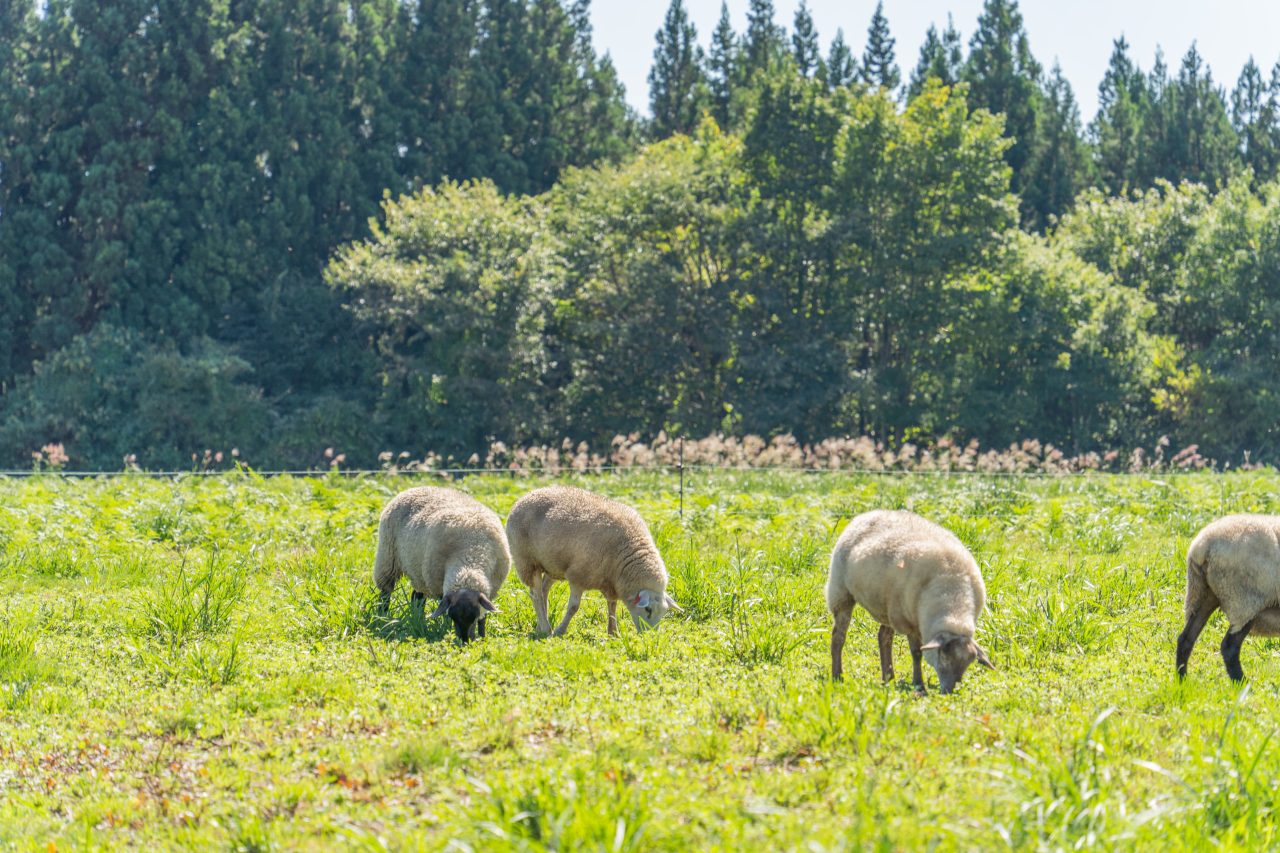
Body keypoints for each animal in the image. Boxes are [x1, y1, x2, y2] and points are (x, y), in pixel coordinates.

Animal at [371, 481, 509, 640]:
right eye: (453, 617)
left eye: (474, 617)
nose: (464, 641)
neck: (470, 556)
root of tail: (412, 488)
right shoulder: (440, 588)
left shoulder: (489, 591)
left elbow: (484, 617)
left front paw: (482, 636)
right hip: (387, 560)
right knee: (385, 593)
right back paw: (382, 617)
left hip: (418, 571)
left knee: (416, 597)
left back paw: (418, 620)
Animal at [504, 481, 680, 635]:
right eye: (648, 609)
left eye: (664, 612)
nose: (650, 636)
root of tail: (526, 496)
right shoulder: (578, 576)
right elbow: (574, 607)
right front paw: (561, 630)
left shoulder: (610, 582)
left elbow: (612, 606)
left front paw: (613, 632)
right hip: (526, 561)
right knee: (536, 595)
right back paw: (547, 629)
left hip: (552, 565)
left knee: (543, 591)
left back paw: (542, 625)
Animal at [824, 504, 993, 691]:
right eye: (943, 656)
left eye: (968, 664)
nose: (948, 691)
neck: (953, 597)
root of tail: (867, 515)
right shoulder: (908, 622)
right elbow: (917, 653)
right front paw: (919, 685)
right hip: (841, 592)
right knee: (838, 636)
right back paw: (838, 675)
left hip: (888, 605)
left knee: (884, 637)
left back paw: (888, 677)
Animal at [1172, 512, 1280, 676]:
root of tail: (1203, 546)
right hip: (1244, 602)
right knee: (1229, 647)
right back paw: (1241, 682)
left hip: (1201, 593)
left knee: (1186, 639)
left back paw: (1182, 679)